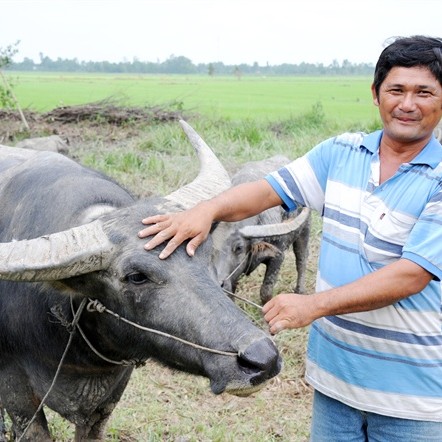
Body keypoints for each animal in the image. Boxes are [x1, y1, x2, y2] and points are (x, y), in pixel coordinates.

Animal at [211, 155, 310, 304]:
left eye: (239, 248)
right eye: (210, 247)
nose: (218, 283)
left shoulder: (278, 256)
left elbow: (266, 291)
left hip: (305, 230)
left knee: (301, 260)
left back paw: (300, 292)